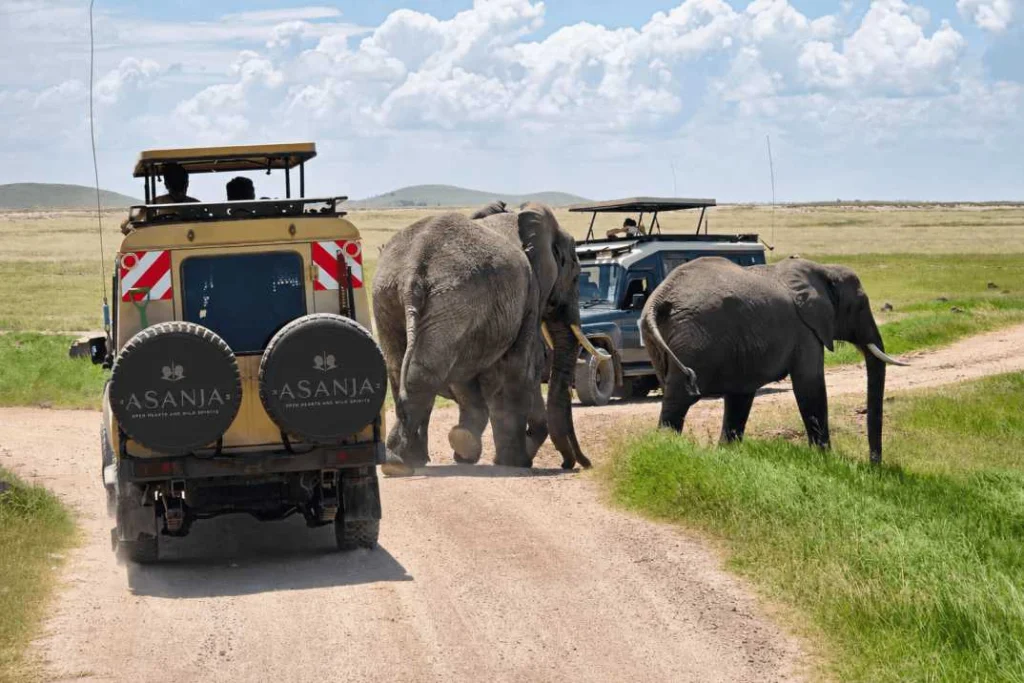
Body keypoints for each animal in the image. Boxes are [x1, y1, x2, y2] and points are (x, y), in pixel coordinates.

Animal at [372, 201, 606, 475]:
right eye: (577, 276)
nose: (577, 465)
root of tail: (413, 266)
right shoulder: (530, 294)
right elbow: (519, 366)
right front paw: (514, 462)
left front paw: (470, 451)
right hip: (455, 300)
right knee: (425, 372)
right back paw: (400, 463)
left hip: (388, 296)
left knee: (398, 367)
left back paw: (406, 460)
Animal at [639, 256, 909, 463]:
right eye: (861, 306)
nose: (875, 464)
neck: (823, 269)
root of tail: (659, 297)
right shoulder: (806, 330)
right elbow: (809, 384)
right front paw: (826, 459)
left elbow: (740, 395)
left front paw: (728, 453)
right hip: (694, 338)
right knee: (679, 398)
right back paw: (667, 448)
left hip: (660, 342)